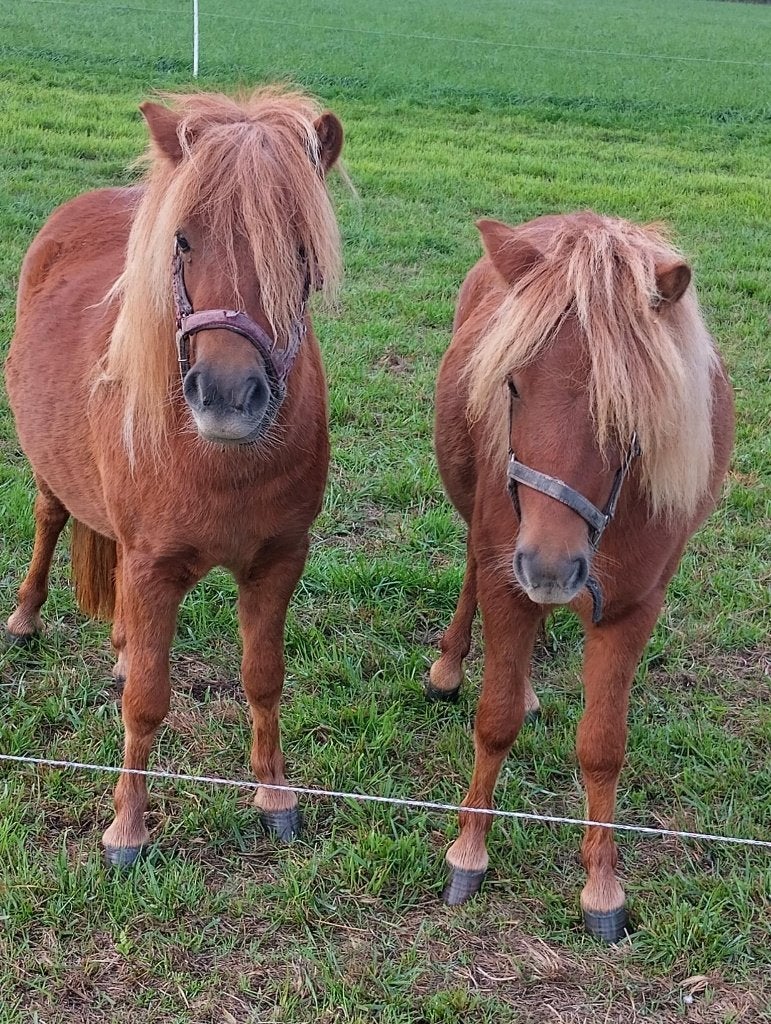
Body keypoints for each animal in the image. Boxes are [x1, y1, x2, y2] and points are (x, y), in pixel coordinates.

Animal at [5, 87, 344, 865]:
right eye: (183, 240)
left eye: (300, 247)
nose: (226, 394)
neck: (219, 464)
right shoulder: (153, 566)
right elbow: (148, 702)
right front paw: (126, 829)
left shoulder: (277, 562)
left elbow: (263, 679)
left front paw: (274, 797)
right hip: (51, 476)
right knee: (49, 520)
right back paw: (25, 617)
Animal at [429, 212, 734, 941]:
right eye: (511, 386)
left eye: (626, 410)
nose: (547, 563)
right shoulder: (504, 577)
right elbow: (495, 719)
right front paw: (468, 852)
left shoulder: (632, 610)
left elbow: (602, 746)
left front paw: (602, 884)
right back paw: (450, 666)